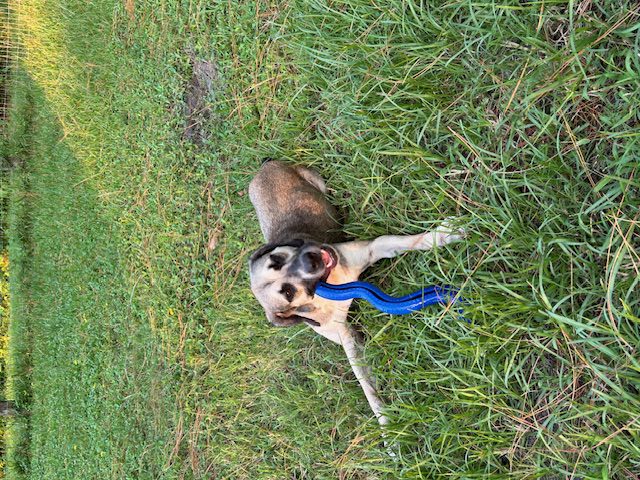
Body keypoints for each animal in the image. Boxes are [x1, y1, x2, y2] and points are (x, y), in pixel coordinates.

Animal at [248, 160, 462, 424]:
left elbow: (413, 240)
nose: (312, 259)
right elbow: (366, 385)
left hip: (315, 181)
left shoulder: (374, 247)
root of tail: (263, 169)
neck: (332, 286)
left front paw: (445, 234)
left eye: (277, 260)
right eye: (287, 293)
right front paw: (386, 422)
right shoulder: (347, 339)